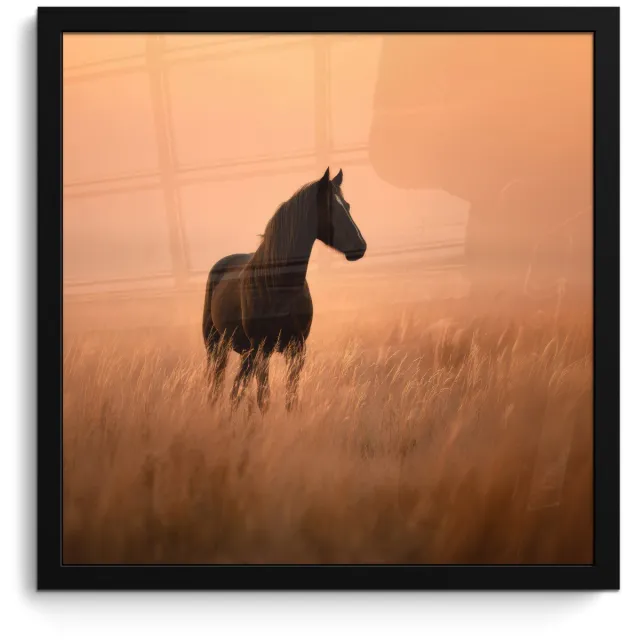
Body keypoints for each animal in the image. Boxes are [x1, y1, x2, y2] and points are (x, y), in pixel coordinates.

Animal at [201, 167, 367, 413]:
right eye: (329, 207)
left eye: (347, 205)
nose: (360, 247)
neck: (279, 287)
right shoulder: (262, 350)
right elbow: (264, 399)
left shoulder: (296, 349)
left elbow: (291, 398)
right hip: (217, 346)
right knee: (218, 385)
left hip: (244, 352)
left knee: (236, 389)